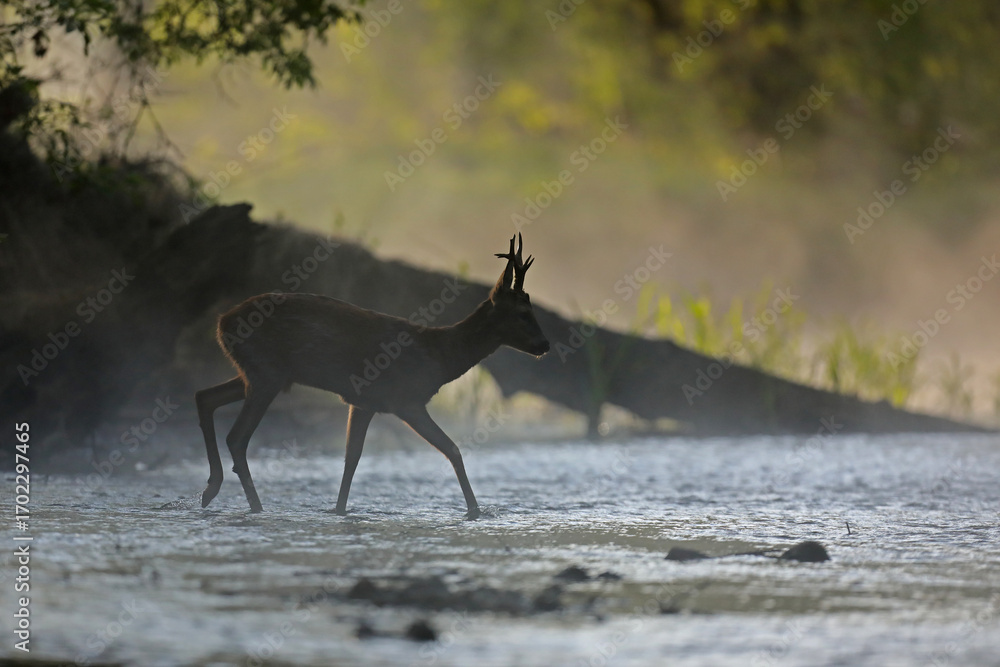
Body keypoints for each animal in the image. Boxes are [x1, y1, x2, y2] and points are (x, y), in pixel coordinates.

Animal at [195, 233, 549, 519]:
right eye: (523, 313)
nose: (545, 344)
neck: (440, 356)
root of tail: (221, 323)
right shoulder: (407, 400)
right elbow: (453, 450)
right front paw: (475, 511)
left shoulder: (363, 401)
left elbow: (351, 459)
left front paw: (338, 510)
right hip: (266, 374)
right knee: (236, 437)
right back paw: (254, 506)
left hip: (264, 375)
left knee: (204, 397)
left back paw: (211, 489)